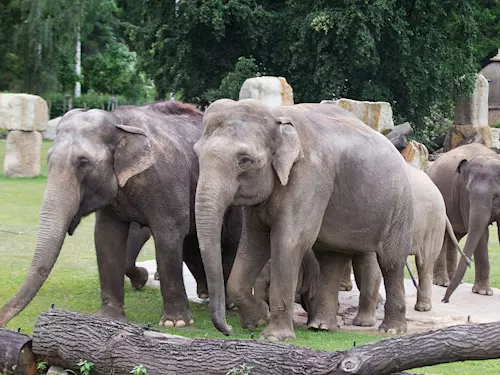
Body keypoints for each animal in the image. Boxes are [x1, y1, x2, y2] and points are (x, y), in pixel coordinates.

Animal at [193, 98, 412, 342]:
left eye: (244, 160)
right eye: (197, 154)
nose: (228, 330)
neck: (276, 114)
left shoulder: (310, 176)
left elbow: (290, 241)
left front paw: (273, 337)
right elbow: (253, 243)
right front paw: (256, 320)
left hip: (399, 206)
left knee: (391, 261)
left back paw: (391, 330)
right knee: (332, 258)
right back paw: (322, 327)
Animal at [426, 143, 500, 302]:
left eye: (496, 195)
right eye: (468, 191)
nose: (445, 300)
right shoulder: (464, 197)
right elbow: (482, 235)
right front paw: (483, 292)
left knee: (455, 236)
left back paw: (456, 281)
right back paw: (442, 282)